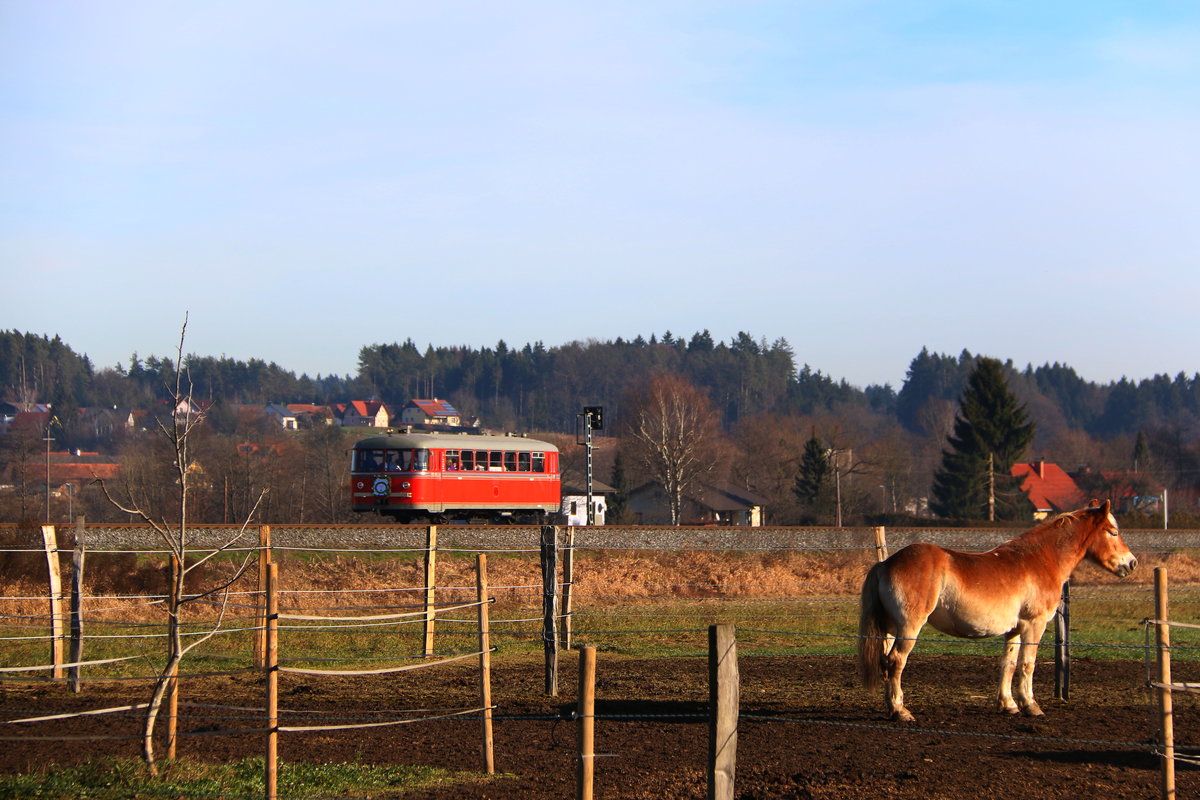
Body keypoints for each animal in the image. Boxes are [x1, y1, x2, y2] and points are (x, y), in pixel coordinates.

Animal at [864, 501, 1132, 719]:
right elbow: (1027, 664)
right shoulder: (1034, 625)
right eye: (1113, 532)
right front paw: (1031, 705)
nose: (1132, 563)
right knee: (896, 661)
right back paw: (900, 711)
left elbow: (1009, 664)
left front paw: (1008, 704)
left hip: (891, 628)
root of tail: (885, 563)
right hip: (909, 627)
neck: (1039, 561)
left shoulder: (1015, 630)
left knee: (886, 661)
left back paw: (891, 707)